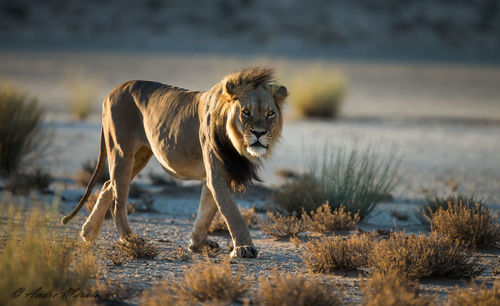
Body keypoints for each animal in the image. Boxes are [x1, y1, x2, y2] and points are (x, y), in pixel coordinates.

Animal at [61, 67, 290, 258]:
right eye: (246, 112)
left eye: (270, 113)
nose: (259, 133)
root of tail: (112, 91)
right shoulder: (217, 175)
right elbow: (232, 213)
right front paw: (244, 247)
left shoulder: (216, 175)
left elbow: (207, 210)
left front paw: (198, 244)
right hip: (121, 151)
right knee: (119, 200)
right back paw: (129, 239)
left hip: (140, 155)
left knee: (109, 186)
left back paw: (88, 232)